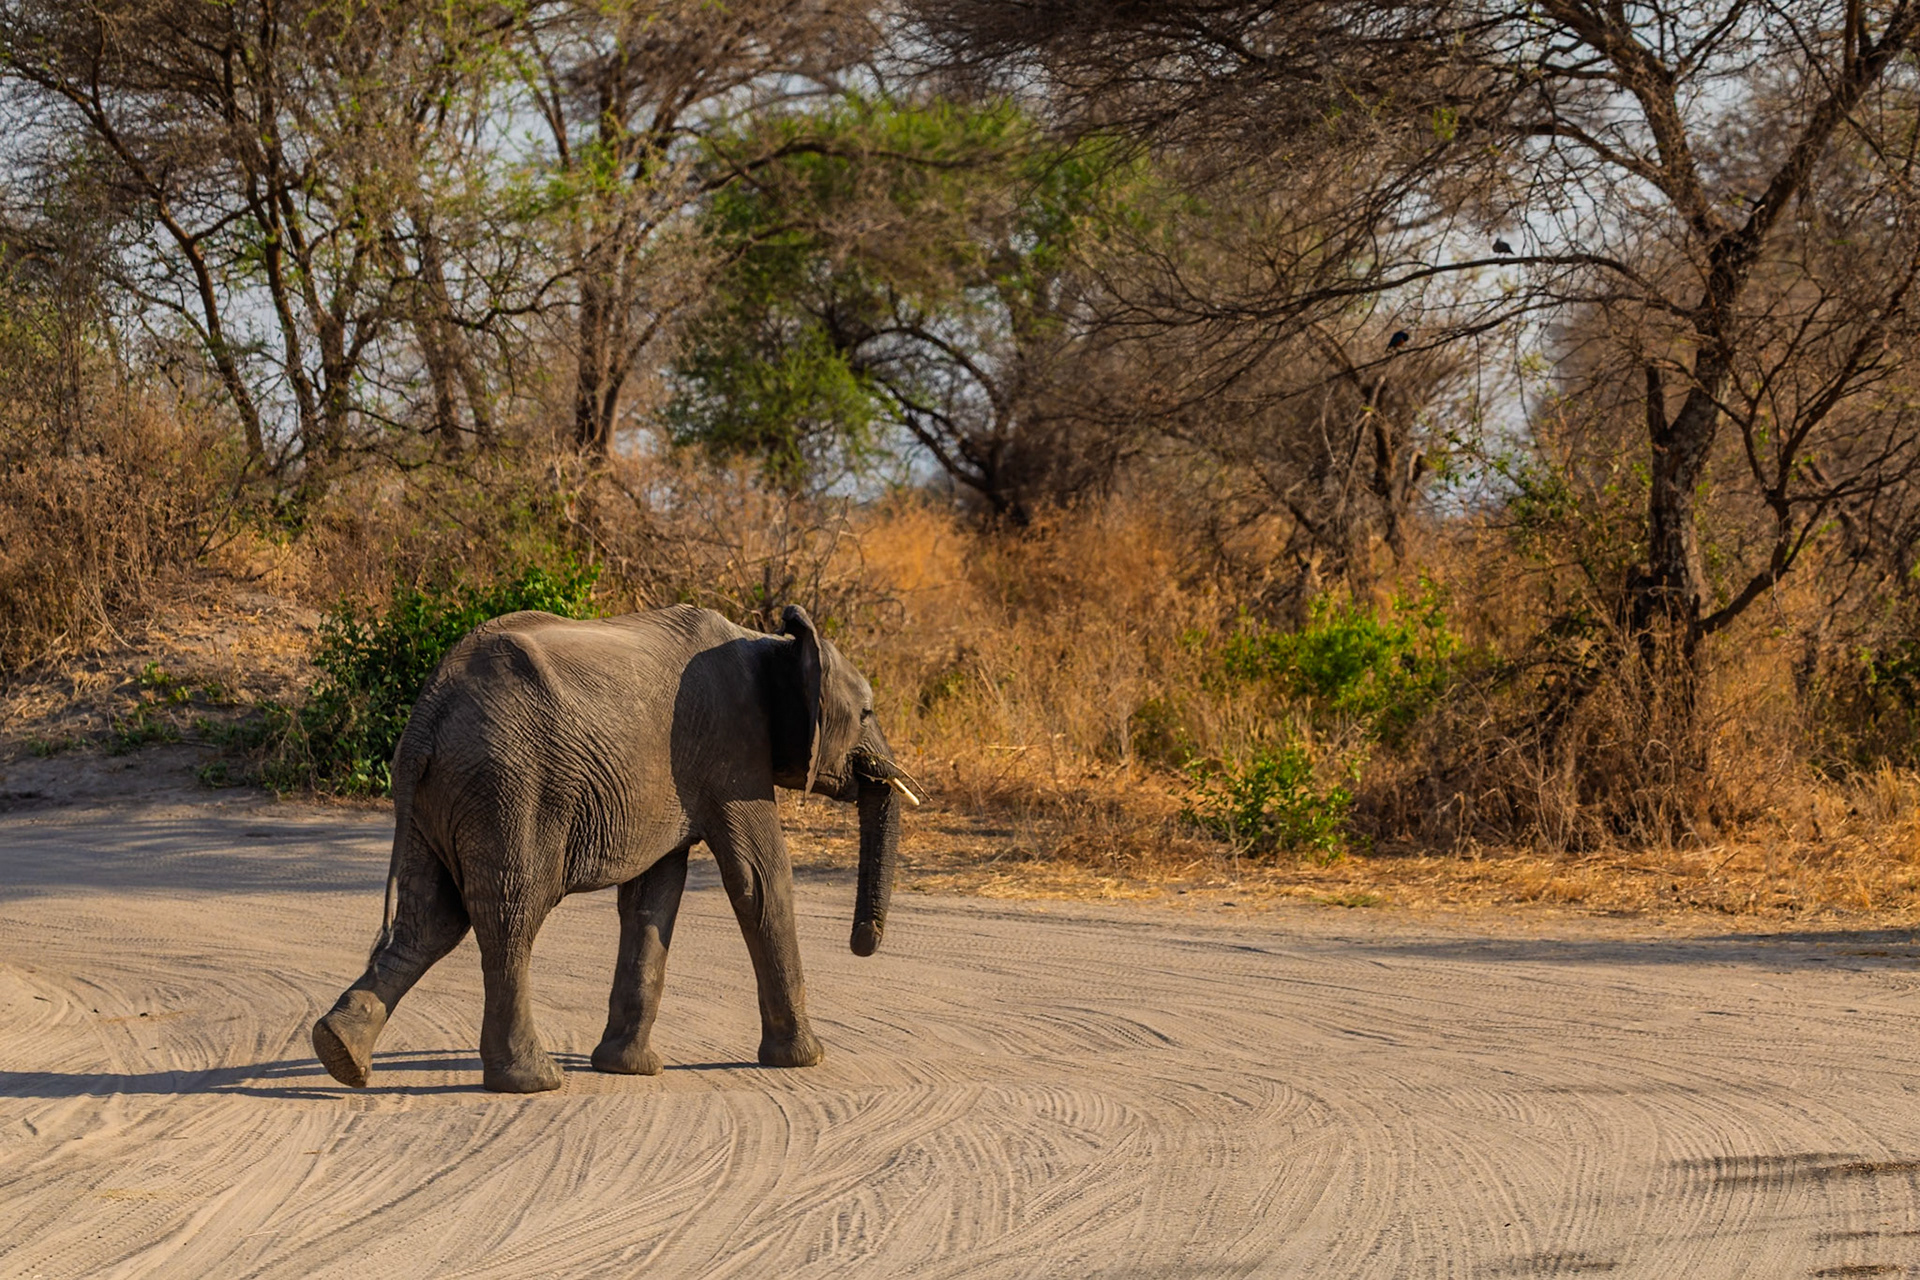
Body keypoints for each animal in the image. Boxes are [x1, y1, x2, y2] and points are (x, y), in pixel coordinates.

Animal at [310, 602, 923, 1093]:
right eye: (866, 713)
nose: (862, 943)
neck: (769, 641)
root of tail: (427, 716)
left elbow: (654, 896)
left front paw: (628, 1068)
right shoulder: (732, 747)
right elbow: (759, 878)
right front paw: (805, 1060)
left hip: (437, 797)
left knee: (429, 921)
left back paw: (340, 1055)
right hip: (508, 789)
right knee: (511, 916)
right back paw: (533, 1082)